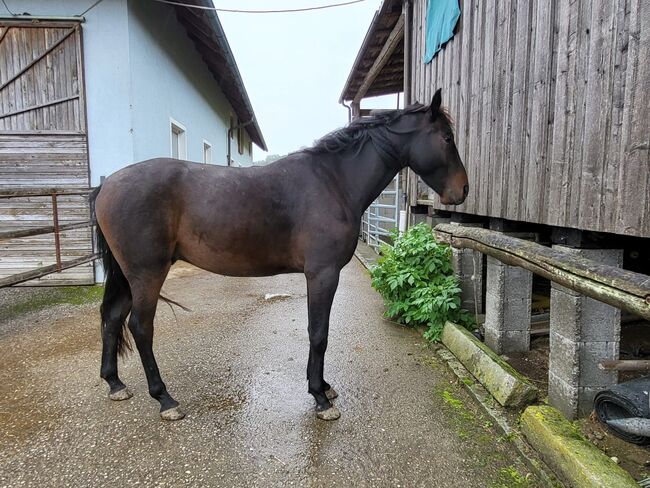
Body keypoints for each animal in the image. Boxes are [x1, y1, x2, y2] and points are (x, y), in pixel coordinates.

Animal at [91, 89, 466, 422]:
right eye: (447, 137)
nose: (462, 191)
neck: (334, 181)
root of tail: (108, 183)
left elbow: (319, 332)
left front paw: (324, 387)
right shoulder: (323, 274)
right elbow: (319, 333)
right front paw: (320, 398)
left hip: (128, 274)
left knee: (112, 316)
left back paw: (115, 383)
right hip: (146, 273)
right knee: (141, 327)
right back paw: (165, 399)